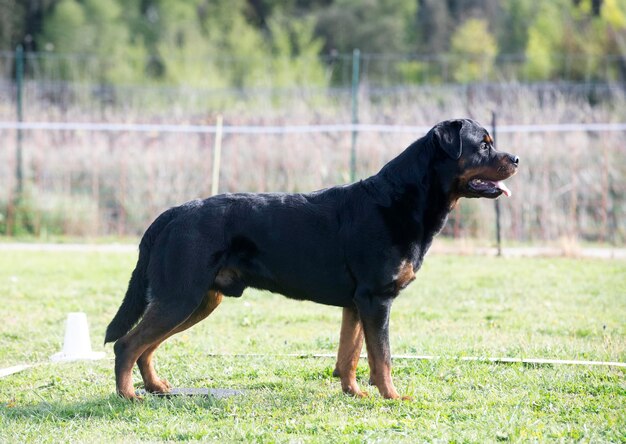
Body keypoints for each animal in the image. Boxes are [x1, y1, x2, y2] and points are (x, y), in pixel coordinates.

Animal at [103, 118, 516, 398]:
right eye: (483, 145)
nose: (515, 158)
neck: (406, 198)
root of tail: (172, 213)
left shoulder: (356, 303)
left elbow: (350, 354)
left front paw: (354, 393)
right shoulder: (376, 298)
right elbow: (382, 357)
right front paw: (392, 397)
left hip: (200, 300)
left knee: (146, 346)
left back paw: (156, 387)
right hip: (181, 295)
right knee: (128, 344)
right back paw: (129, 395)